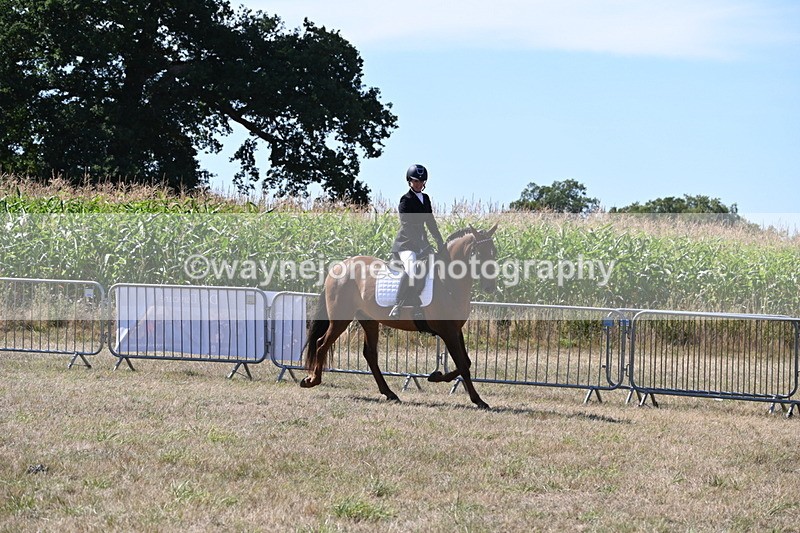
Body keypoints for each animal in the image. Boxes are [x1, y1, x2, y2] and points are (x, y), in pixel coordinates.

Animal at [300, 223, 499, 409]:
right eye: (478, 253)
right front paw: (477, 399)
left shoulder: (456, 330)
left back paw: (389, 393)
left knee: (369, 354)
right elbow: (463, 365)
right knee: (321, 344)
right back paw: (312, 380)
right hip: (341, 318)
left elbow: (466, 362)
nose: (490, 287)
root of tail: (339, 266)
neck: (448, 281)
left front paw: (437, 376)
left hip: (368, 320)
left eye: (494, 252)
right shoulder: (448, 331)